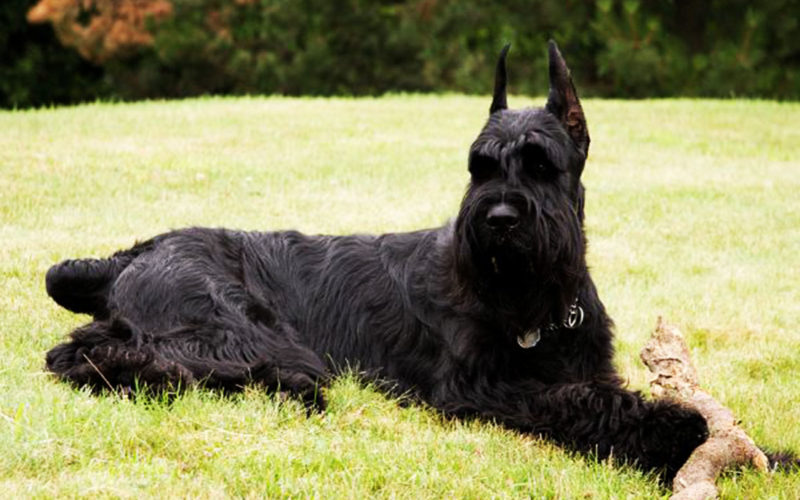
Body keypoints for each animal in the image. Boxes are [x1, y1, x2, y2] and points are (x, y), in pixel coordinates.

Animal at [43, 42, 708, 480]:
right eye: (480, 168)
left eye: (541, 164)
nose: (497, 220)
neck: (539, 305)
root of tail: (132, 254)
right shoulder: (480, 385)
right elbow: (578, 402)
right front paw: (676, 432)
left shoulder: (584, 367)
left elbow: (592, 392)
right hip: (238, 330)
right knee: (102, 355)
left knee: (83, 348)